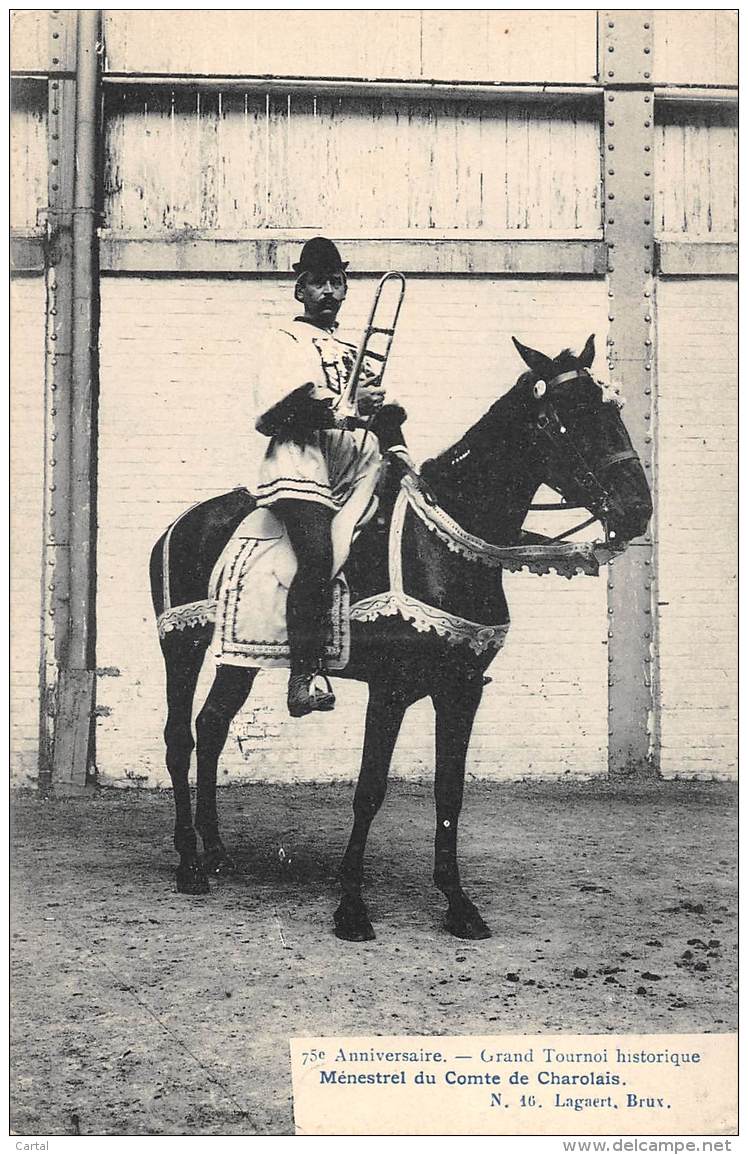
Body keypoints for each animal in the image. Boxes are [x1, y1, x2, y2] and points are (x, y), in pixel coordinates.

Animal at [150, 334, 646, 937]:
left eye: (613, 411)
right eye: (571, 416)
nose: (638, 510)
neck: (447, 544)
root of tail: (181, 523)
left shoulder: (462, 689)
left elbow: (449, 791)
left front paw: (458, 904)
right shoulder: (390, 691)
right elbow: (369, 790)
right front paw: (351, 907)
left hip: (238, 657)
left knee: (213, 727)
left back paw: (216, 850)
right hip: (182, 647)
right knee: (181, 737)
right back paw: (189, 864)